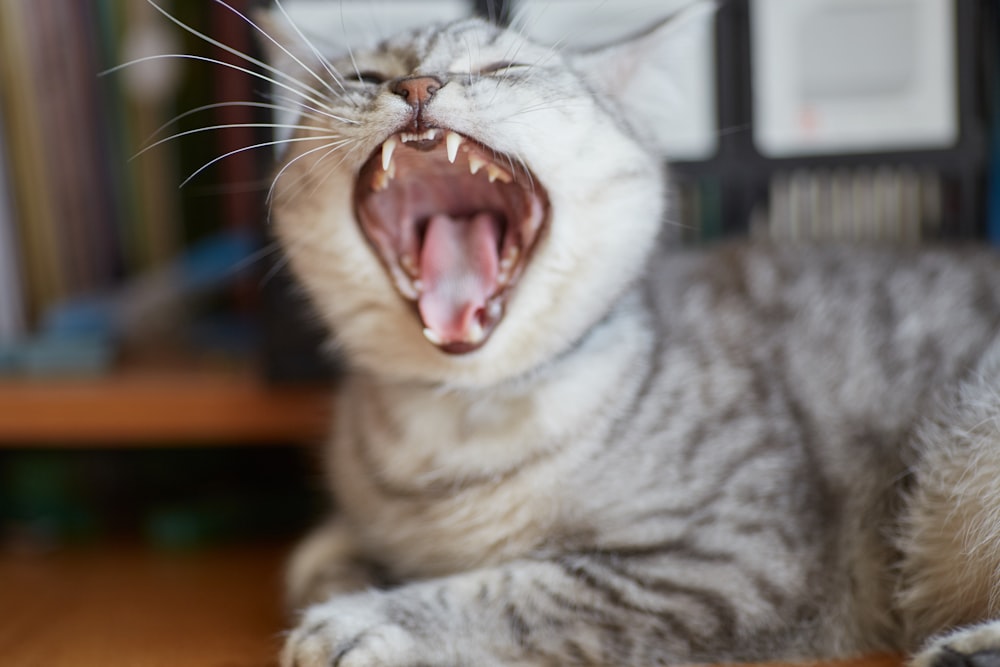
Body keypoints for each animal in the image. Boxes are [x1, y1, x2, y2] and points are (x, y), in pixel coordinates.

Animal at [215, 5, 1000, 667]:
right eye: (364, 78)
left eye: (501, 67)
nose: (416, 84)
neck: (456, 428)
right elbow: (319, 555)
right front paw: (358, 573)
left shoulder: (732, 560)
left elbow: (517, 590)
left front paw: (369, 619)